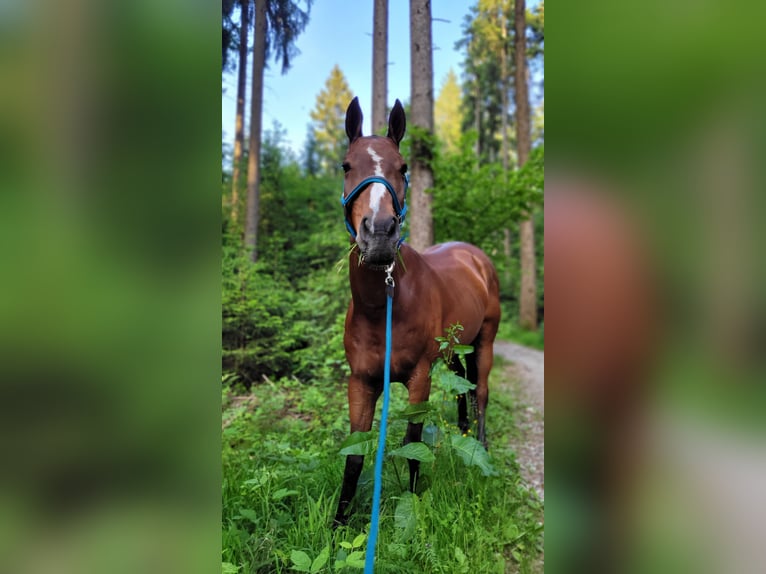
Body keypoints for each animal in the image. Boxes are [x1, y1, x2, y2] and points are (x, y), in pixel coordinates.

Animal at [336, 99, 504, 528]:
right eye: (346, 166)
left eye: (403, 166)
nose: (379, 233)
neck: (384, 307)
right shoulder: (361, 381)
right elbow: (354, 454)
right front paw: (338, 522)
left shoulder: (419, 377)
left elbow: (412, 443)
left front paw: (413, 502)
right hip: (455, 350)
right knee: (463, 386)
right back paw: (463, 433)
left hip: (485, 341)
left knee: (480, 390)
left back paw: (479, 444)